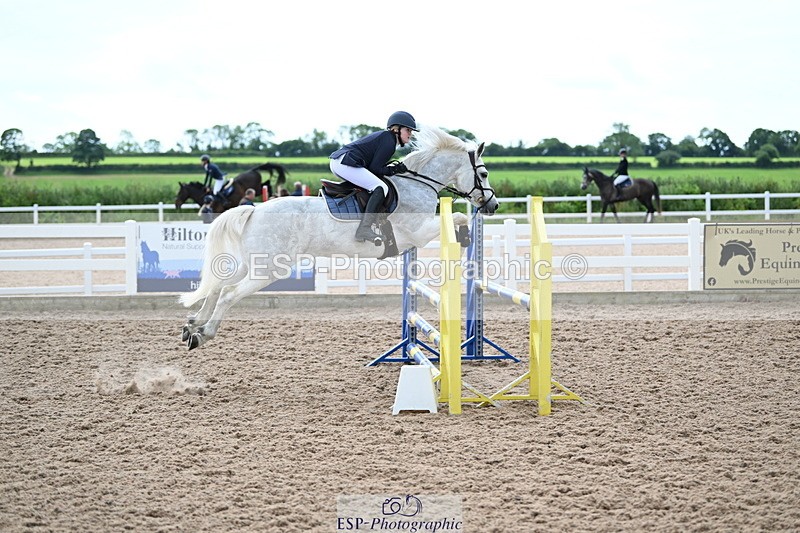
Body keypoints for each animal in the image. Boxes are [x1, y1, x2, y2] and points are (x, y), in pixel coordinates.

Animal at [179, 126, 499, 350]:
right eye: (483, 173)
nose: (493, 205)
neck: (417, 185)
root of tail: (254, 210)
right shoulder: (418, 233)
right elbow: (456, 218)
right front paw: (465, 236)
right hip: (268, 268)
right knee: (229, 293)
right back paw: (203, 334)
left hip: (253, 263)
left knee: (219, 286)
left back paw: (193, 325)